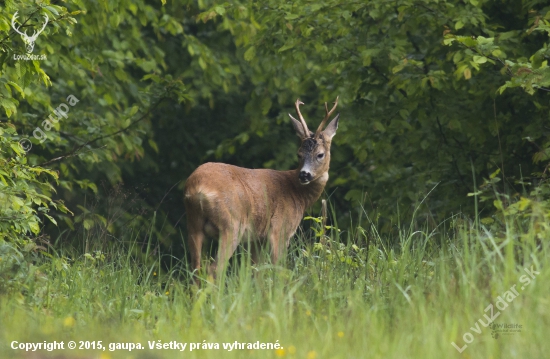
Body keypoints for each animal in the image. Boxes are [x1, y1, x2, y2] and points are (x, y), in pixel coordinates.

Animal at [185, 97, 340, 278]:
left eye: (320, 154)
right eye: (299, 154)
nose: (304, 175)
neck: (298, 193)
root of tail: (197, 188)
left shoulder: (257, 238)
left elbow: (256, 271)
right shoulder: (280, 229)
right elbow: (279, 269)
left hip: (193, 223)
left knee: (195, 268)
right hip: (231, 224)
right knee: (214, 268)